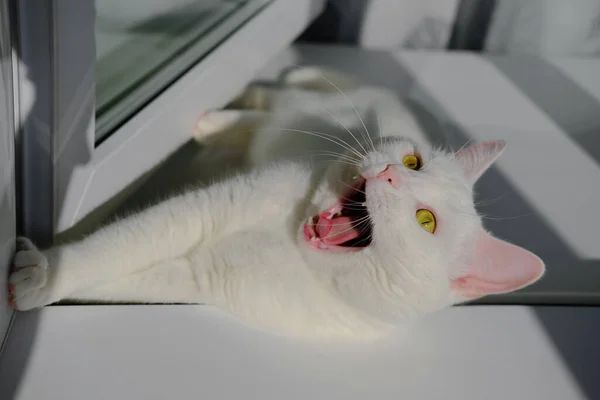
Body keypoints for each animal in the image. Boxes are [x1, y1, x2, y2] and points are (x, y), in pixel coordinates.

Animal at [8, 66, 544, 340]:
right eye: (414, 161)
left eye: (426, 220)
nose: (391, 172)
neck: (290, 249)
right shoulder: (211, 208)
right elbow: (119, 244)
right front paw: (45, 272)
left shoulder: (194, 277)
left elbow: (126, 271)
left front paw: (41, 281)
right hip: (307, 112)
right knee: (273, 98)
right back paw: (219, 115)